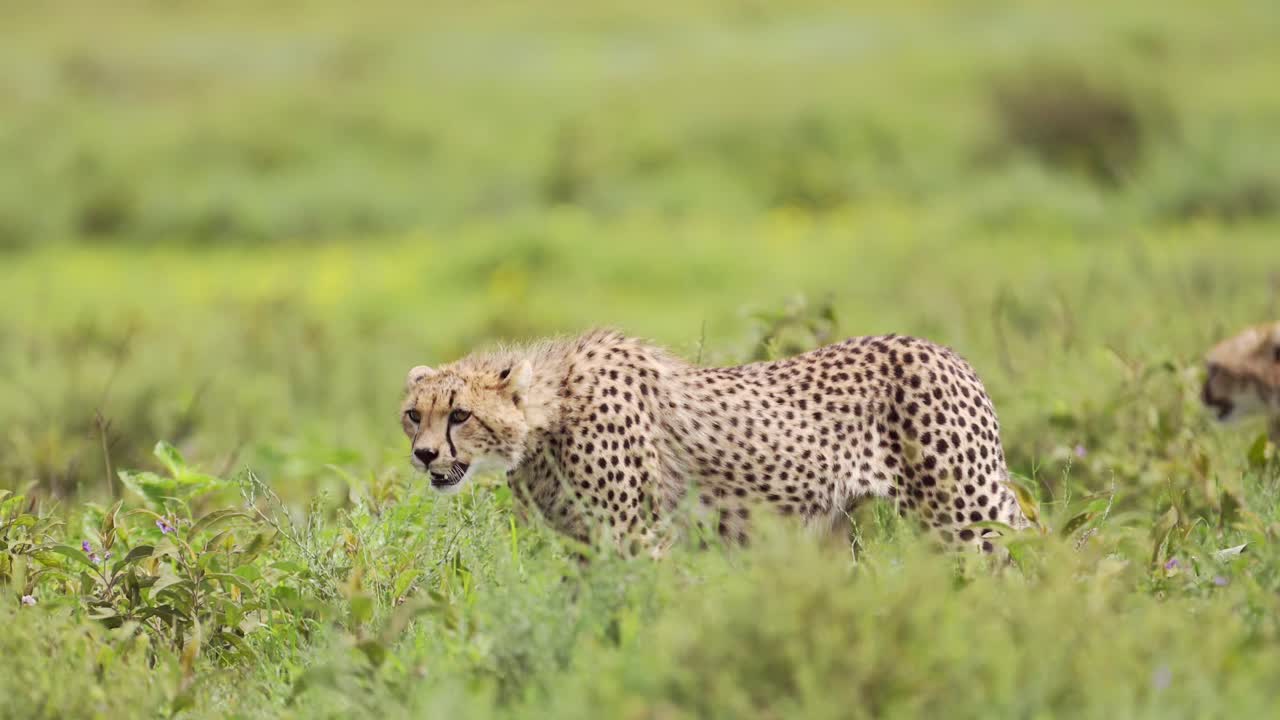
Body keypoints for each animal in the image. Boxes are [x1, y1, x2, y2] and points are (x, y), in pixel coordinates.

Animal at [400, 329, 1030, 556]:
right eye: (413, 416)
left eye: (459, 415)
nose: (425, 455)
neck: (549, 415)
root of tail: (944, 350)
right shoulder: (586, 545)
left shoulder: (636, 538)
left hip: (964, 507)